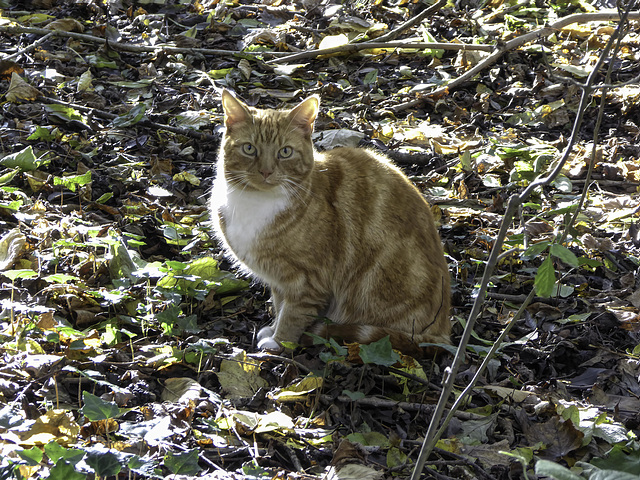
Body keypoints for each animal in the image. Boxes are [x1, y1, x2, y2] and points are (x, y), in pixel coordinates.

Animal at [210, 90, 450, 358]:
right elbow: (279, 304)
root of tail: (442, 332)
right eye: (249, 148)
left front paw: (279, 342)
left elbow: (292, 314)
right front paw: (273, 329)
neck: (256, 202)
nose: (266, 172)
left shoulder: (307, 280)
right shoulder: (280, 280)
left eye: (285, 152)